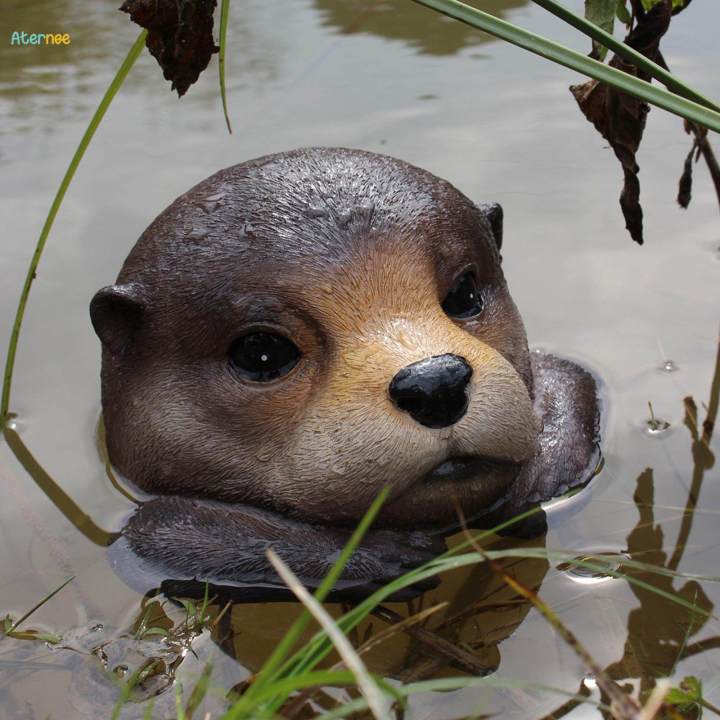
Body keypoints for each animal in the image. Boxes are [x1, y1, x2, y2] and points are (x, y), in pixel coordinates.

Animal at [91, 148, 600, 596]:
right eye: (261, 352)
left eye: (463, 293)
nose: (435, 383)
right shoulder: (150, 530)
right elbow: (162, 531)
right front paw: (377, 553)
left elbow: (574, 381)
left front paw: (535, 477)